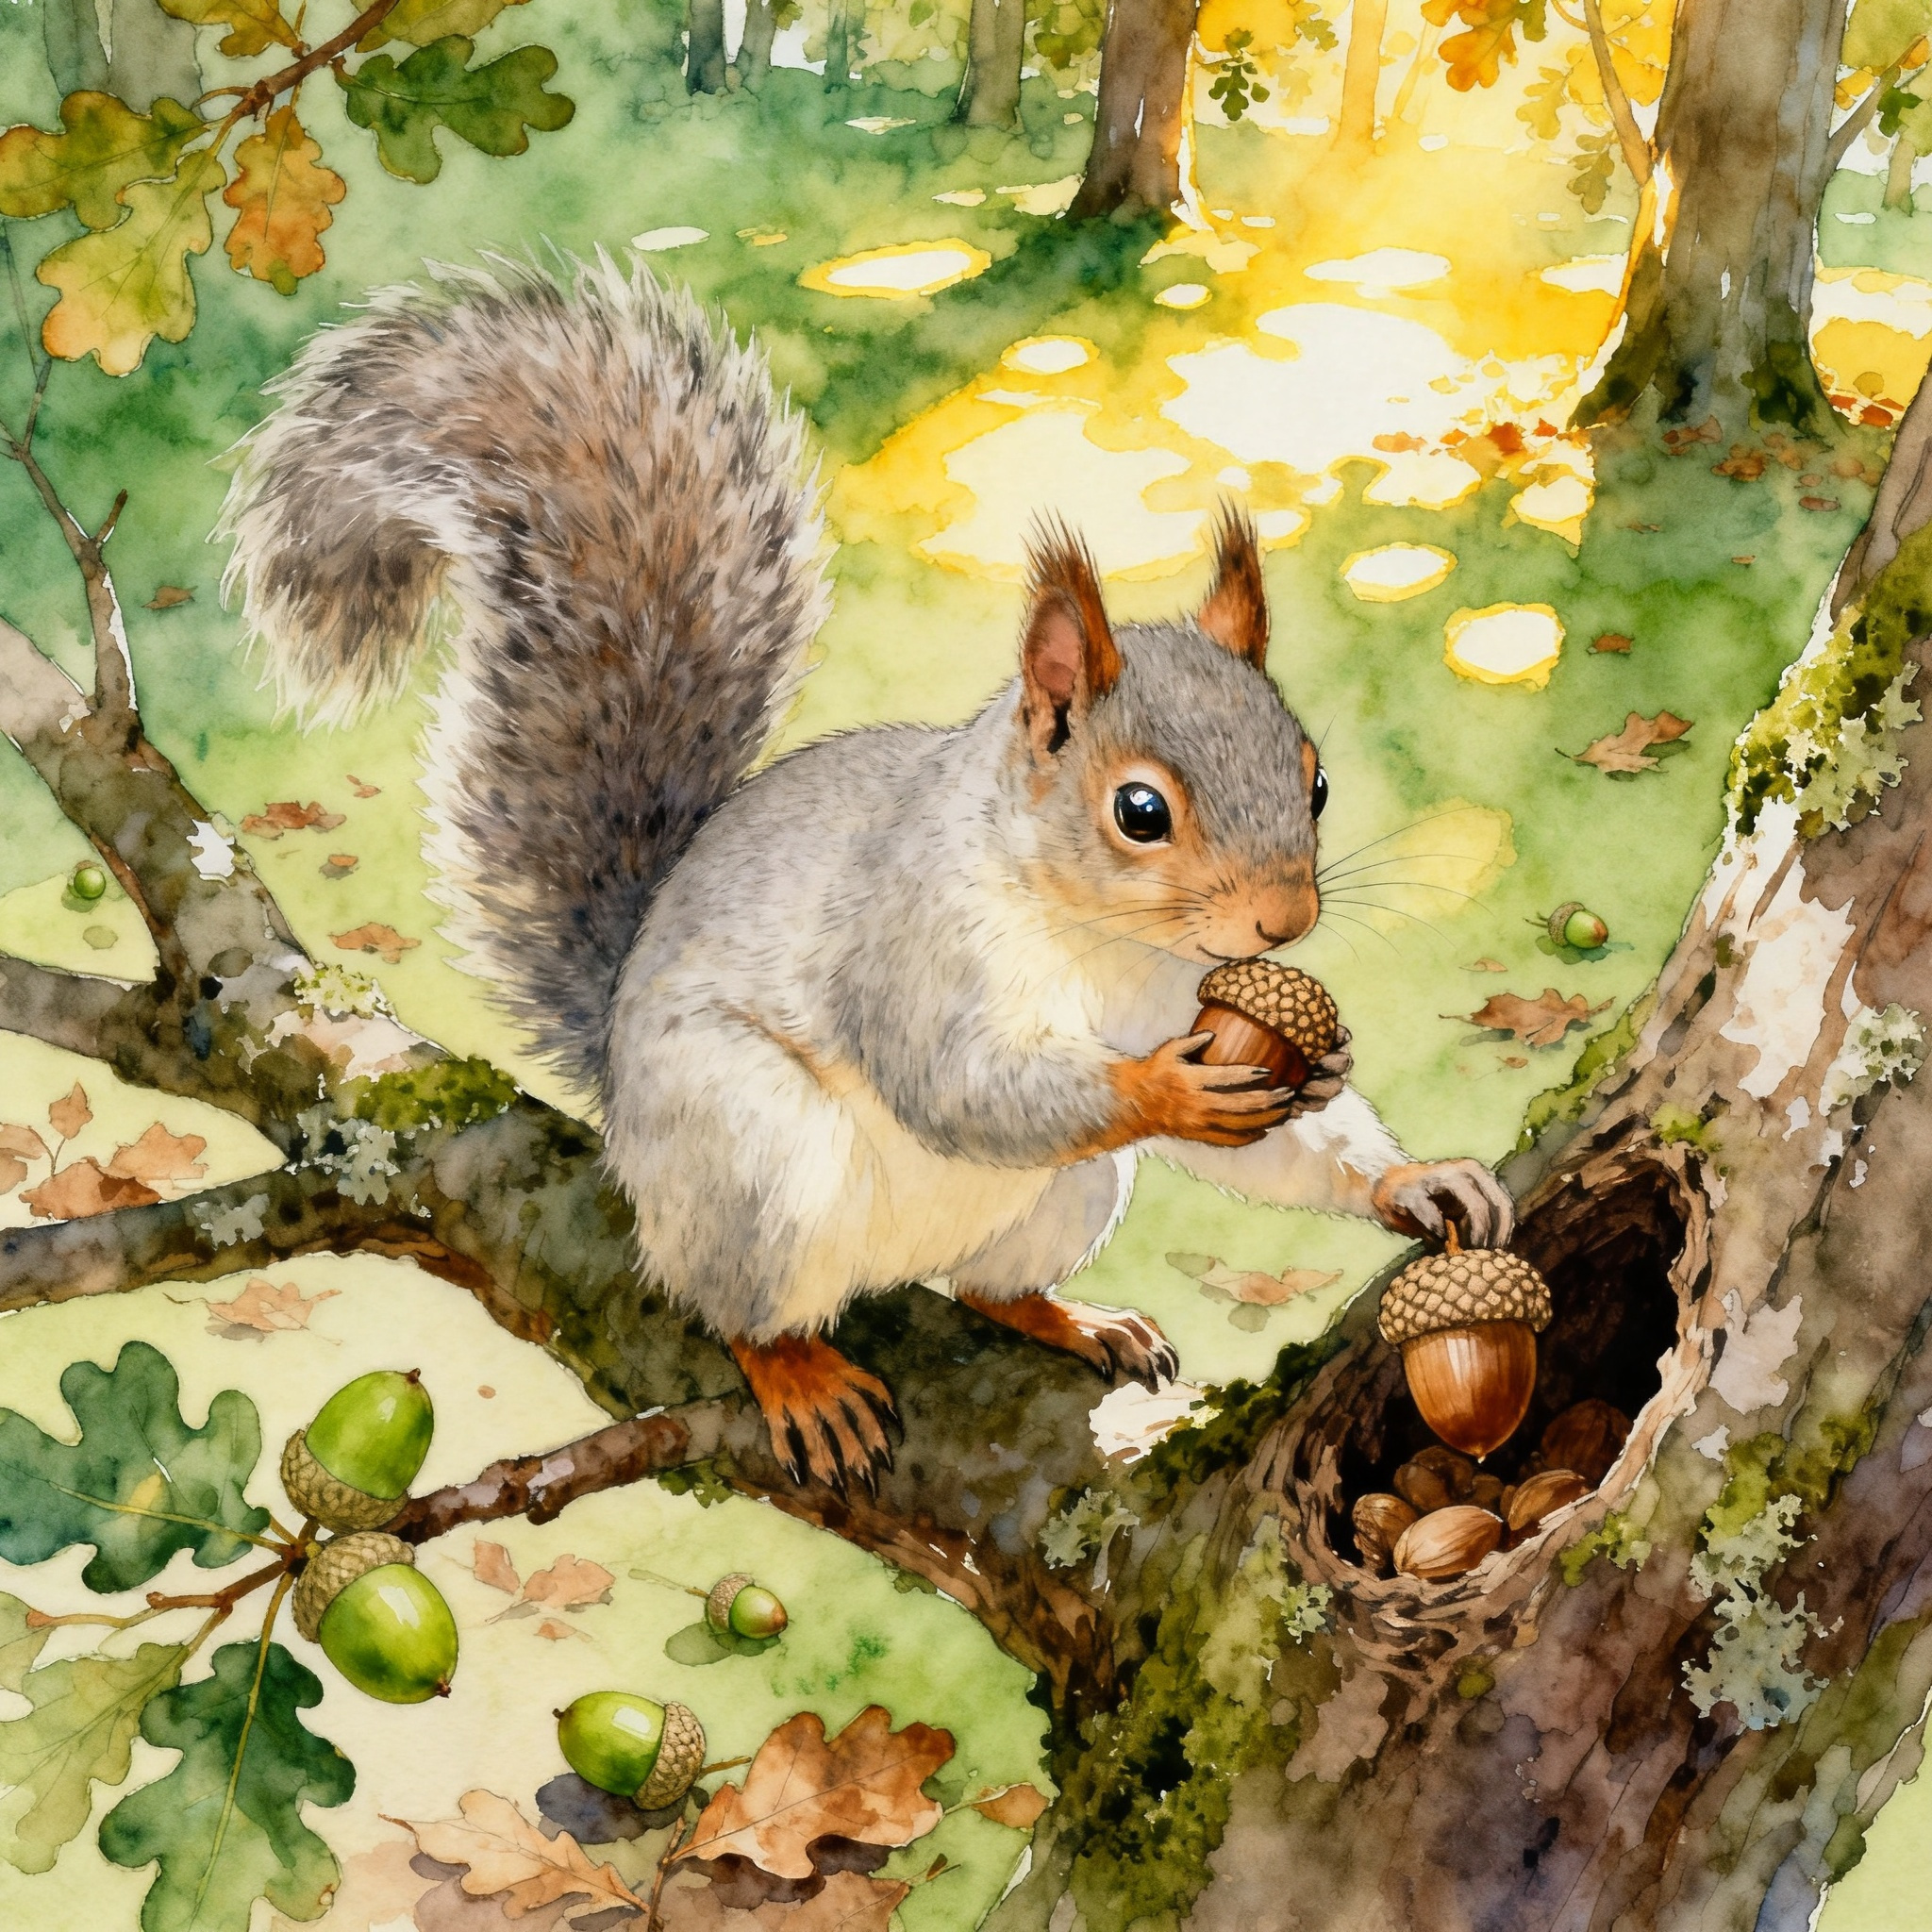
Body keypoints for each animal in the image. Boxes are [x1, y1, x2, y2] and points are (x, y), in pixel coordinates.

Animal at [219, 253, 1515, 1491]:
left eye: (1315, 780)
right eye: (1139, 810)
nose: (1283, 923)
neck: (1113, 951)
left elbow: (1286, 1144)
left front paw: (1410, 1178)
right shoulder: (911, 940)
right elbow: (956, 1079)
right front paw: (1163, 1088)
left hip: (1064, 1196)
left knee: (989, 1284)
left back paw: (1073, 1317)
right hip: (753, 1157)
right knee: (734, 1306)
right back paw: (798, 1373)